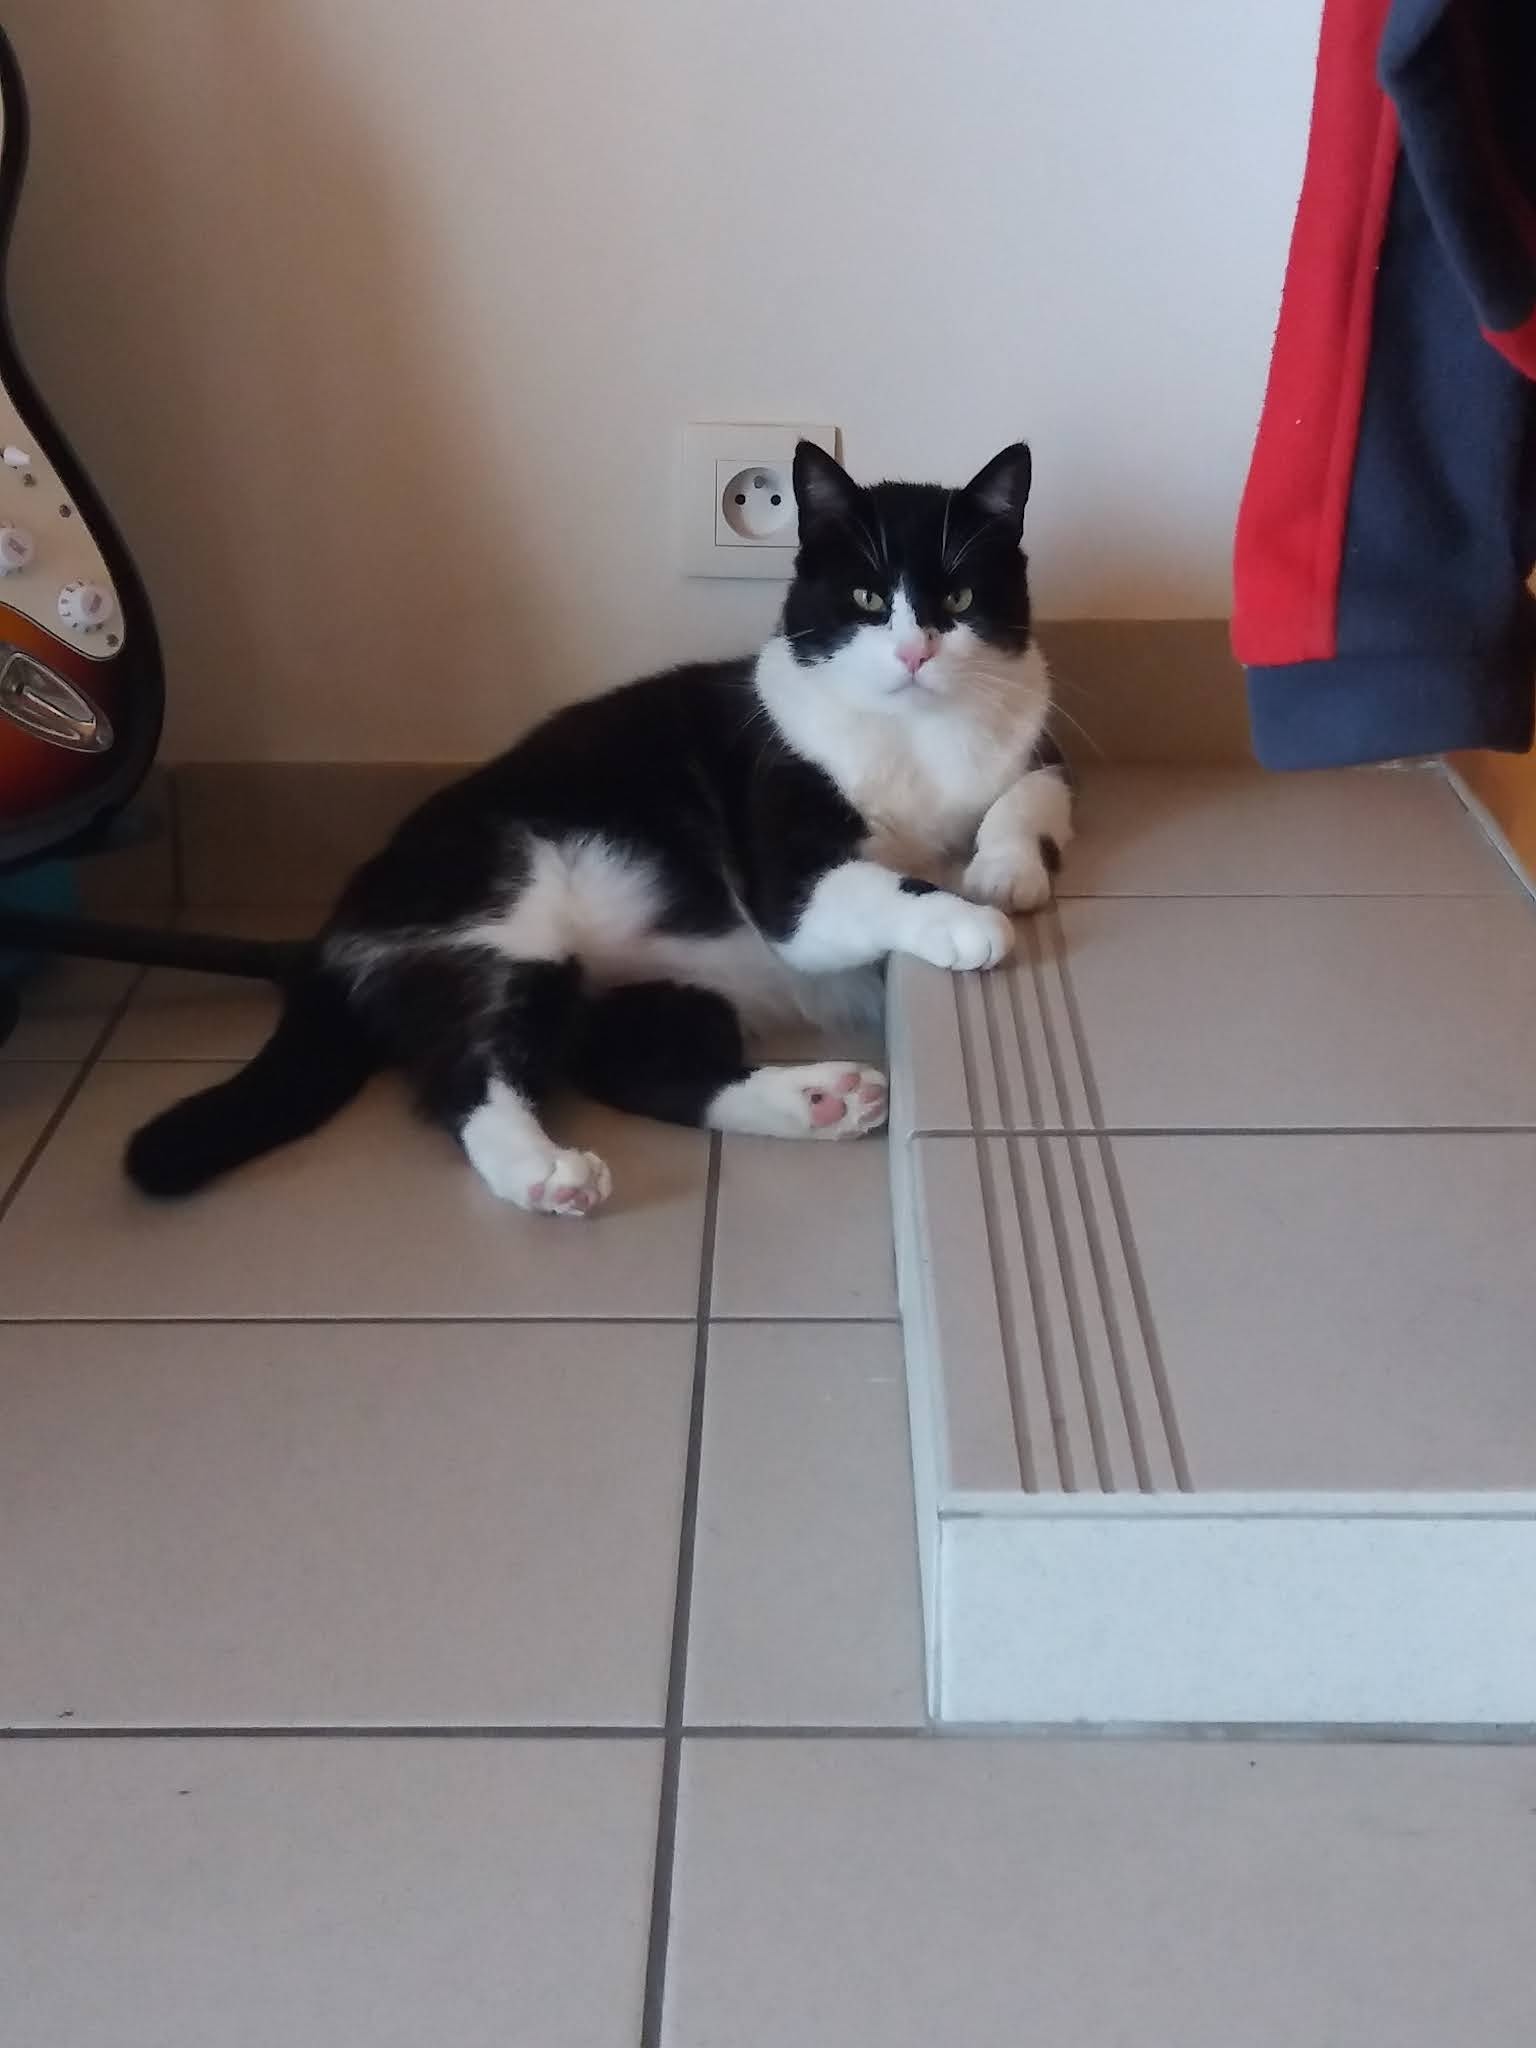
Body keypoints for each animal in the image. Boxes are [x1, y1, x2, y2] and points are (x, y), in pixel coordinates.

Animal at [124, 439, 1072, 1217]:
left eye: (958, 595)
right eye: (869, 598)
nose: (915, 653)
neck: (918, 739)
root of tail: (331, 929)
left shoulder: (1038, 743)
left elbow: (1031, 794)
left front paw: (1004, 871)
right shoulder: (790, 874)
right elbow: (879, 882)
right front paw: (964, 920)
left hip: (654, 992)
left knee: (652, 1070)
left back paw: (822, 1100)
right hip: (506, 915)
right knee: (471, 1071)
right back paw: (543, 1170)